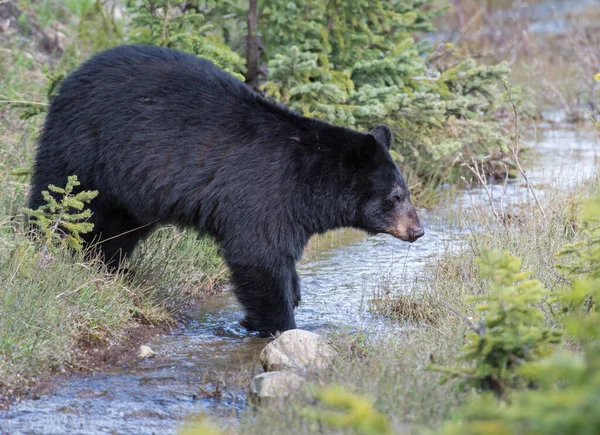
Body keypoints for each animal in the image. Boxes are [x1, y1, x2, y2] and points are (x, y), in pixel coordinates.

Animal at [28, 44, 424, 336]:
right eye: (396, 196)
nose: (418, 230)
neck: (309, 179)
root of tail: (71, 76)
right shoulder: (265, 194)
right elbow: (259, 256)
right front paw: (280, 325)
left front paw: (285, 301)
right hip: (85, 152)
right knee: (62, 203)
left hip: (127, 190)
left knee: (117, 229)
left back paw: (109, 267)